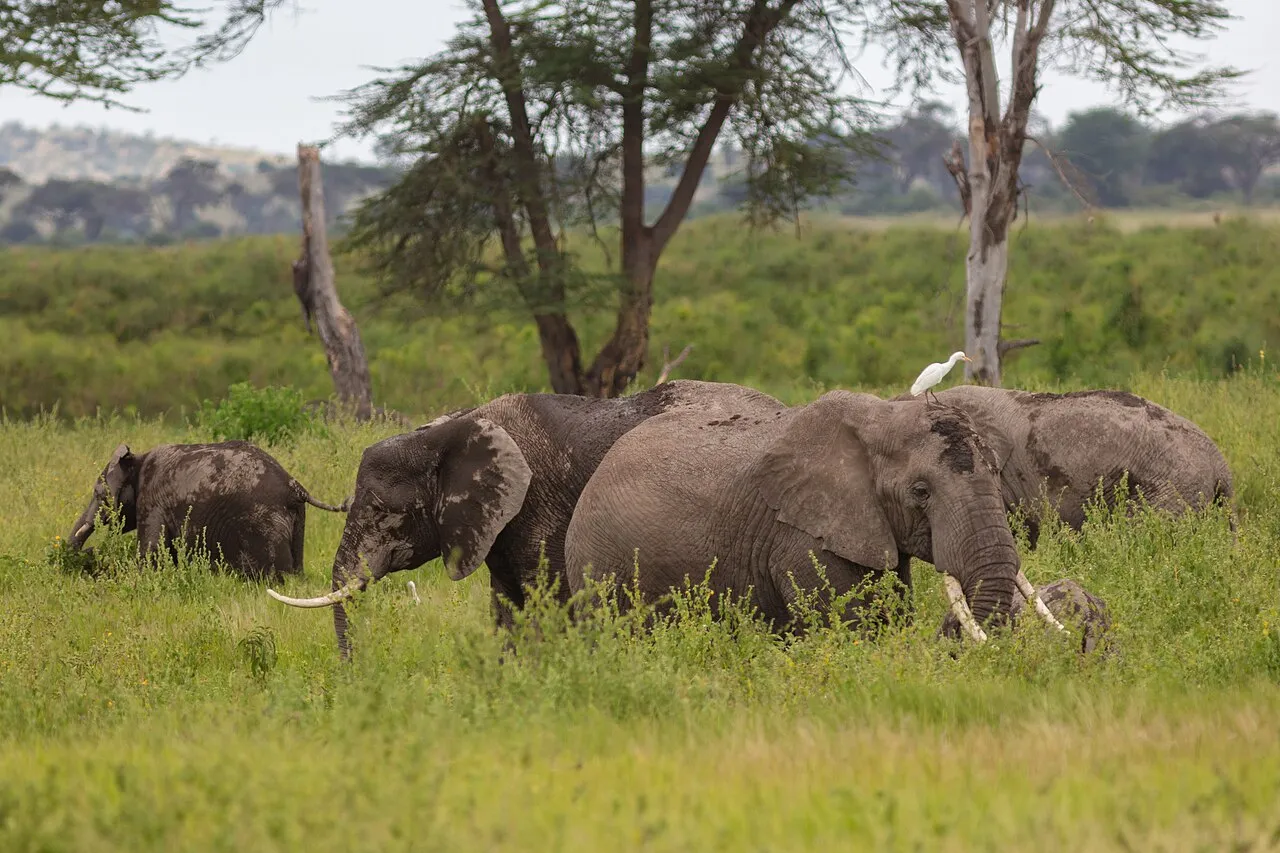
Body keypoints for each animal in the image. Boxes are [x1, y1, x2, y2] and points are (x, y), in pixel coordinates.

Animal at [68, 441, 350, 581]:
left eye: (98, 494)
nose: (90, 551)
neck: (137, 460)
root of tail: (295, 486)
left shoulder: (153, 502)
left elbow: (150, 554)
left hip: (264, 521)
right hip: (296, 520)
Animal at [564, 390, 1066, 642]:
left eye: (996, 472)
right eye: (920, 493)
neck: (881, 417)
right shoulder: (801, 536)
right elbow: (848, 624)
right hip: (600, 567)